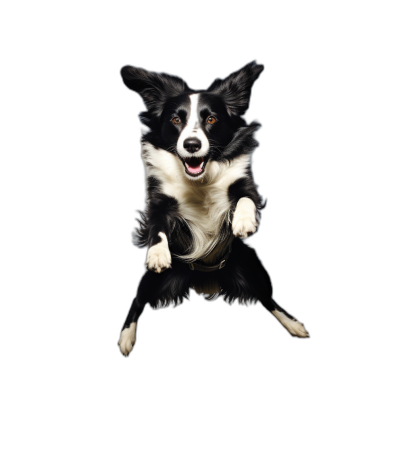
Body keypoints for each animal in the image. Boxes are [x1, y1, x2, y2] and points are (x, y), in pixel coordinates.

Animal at [117, 61, 310, 356]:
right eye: (176, 120)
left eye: (211, 119)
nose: (191, 145)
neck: (199, 180)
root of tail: (204, 281)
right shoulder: (159, 201)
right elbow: (157, 226)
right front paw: (158, 253)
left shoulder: (244, 183)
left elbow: (245, 199)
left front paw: (243, 222)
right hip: (151, 281)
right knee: (137, 302)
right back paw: (126, 339)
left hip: (252, 266)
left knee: (268, 299)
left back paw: (295, 325)